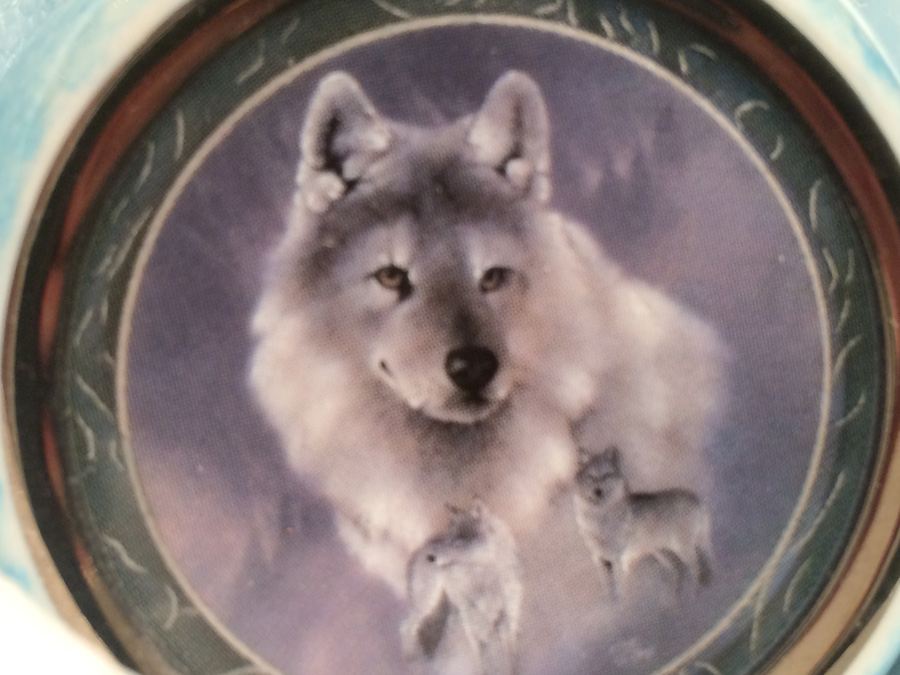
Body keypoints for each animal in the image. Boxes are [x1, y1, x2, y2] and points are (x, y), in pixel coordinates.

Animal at [574, 446, 714, 597]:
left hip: (682, 549)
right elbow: (606, 585)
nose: (598, 491)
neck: (599, 517)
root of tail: (697, 499)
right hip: (663, 550)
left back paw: (694, 594)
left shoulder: (618, 558)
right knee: (681, 568)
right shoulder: (597, 557)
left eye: (606, 475)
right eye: (591, 477)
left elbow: (619, 589)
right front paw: (609, 598)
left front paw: (620, 601)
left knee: (696, 569)